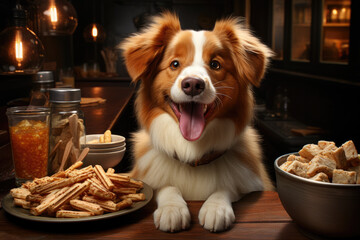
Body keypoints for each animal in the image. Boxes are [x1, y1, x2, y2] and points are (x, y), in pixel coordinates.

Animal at [121, 11, 272, 232]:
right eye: (175, 64)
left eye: (215, 64)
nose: (193, 84)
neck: (191, 152)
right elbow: (166, 186)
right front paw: (172, 208)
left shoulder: (251, 182)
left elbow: (226, 186)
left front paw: (216, 208)